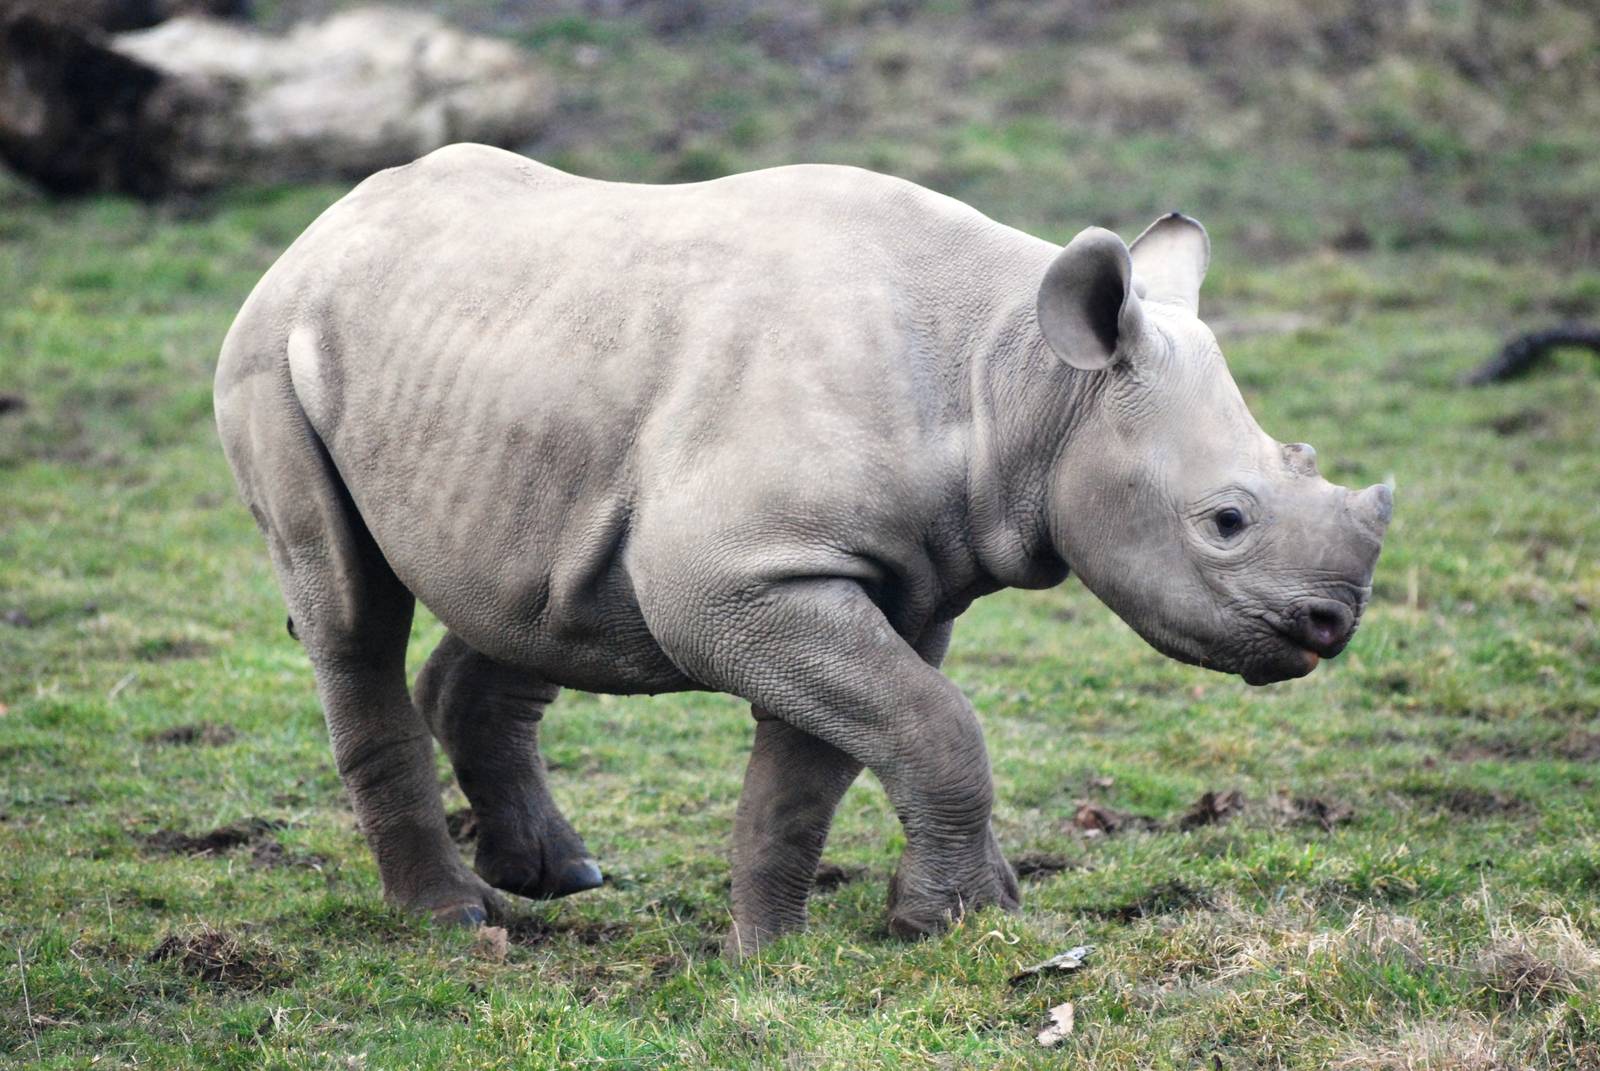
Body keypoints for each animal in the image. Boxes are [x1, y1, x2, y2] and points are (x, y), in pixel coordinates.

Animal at [214, 143, 1391, 954]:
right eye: (1226, 522)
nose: (1332, 623)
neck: (1025, 379)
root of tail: (318, 227)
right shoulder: (744, 572)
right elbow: (934, 726)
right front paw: (959, 922)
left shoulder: (889, 576)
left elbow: (837, 756)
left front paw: (777, 949)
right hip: (271, 351)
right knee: (351, 612)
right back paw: (458, 920)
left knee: (535, 600)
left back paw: (564, 876)